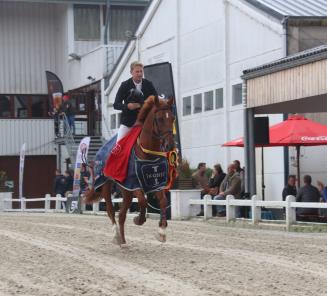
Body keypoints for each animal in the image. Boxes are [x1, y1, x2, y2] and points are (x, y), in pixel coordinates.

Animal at [84, 96, 177, 246]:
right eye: (160, 119)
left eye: (172, 118)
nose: (170, 145)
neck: (147, 153)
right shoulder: (135, 185)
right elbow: (143, 202)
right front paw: (139, 220)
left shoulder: (155, 183)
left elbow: (163, 202)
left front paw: (162, 232)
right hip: (106, 185)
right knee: (111, 210)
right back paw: (116, 235)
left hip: (125, 190)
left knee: (121, 214)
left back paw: (123, 241)